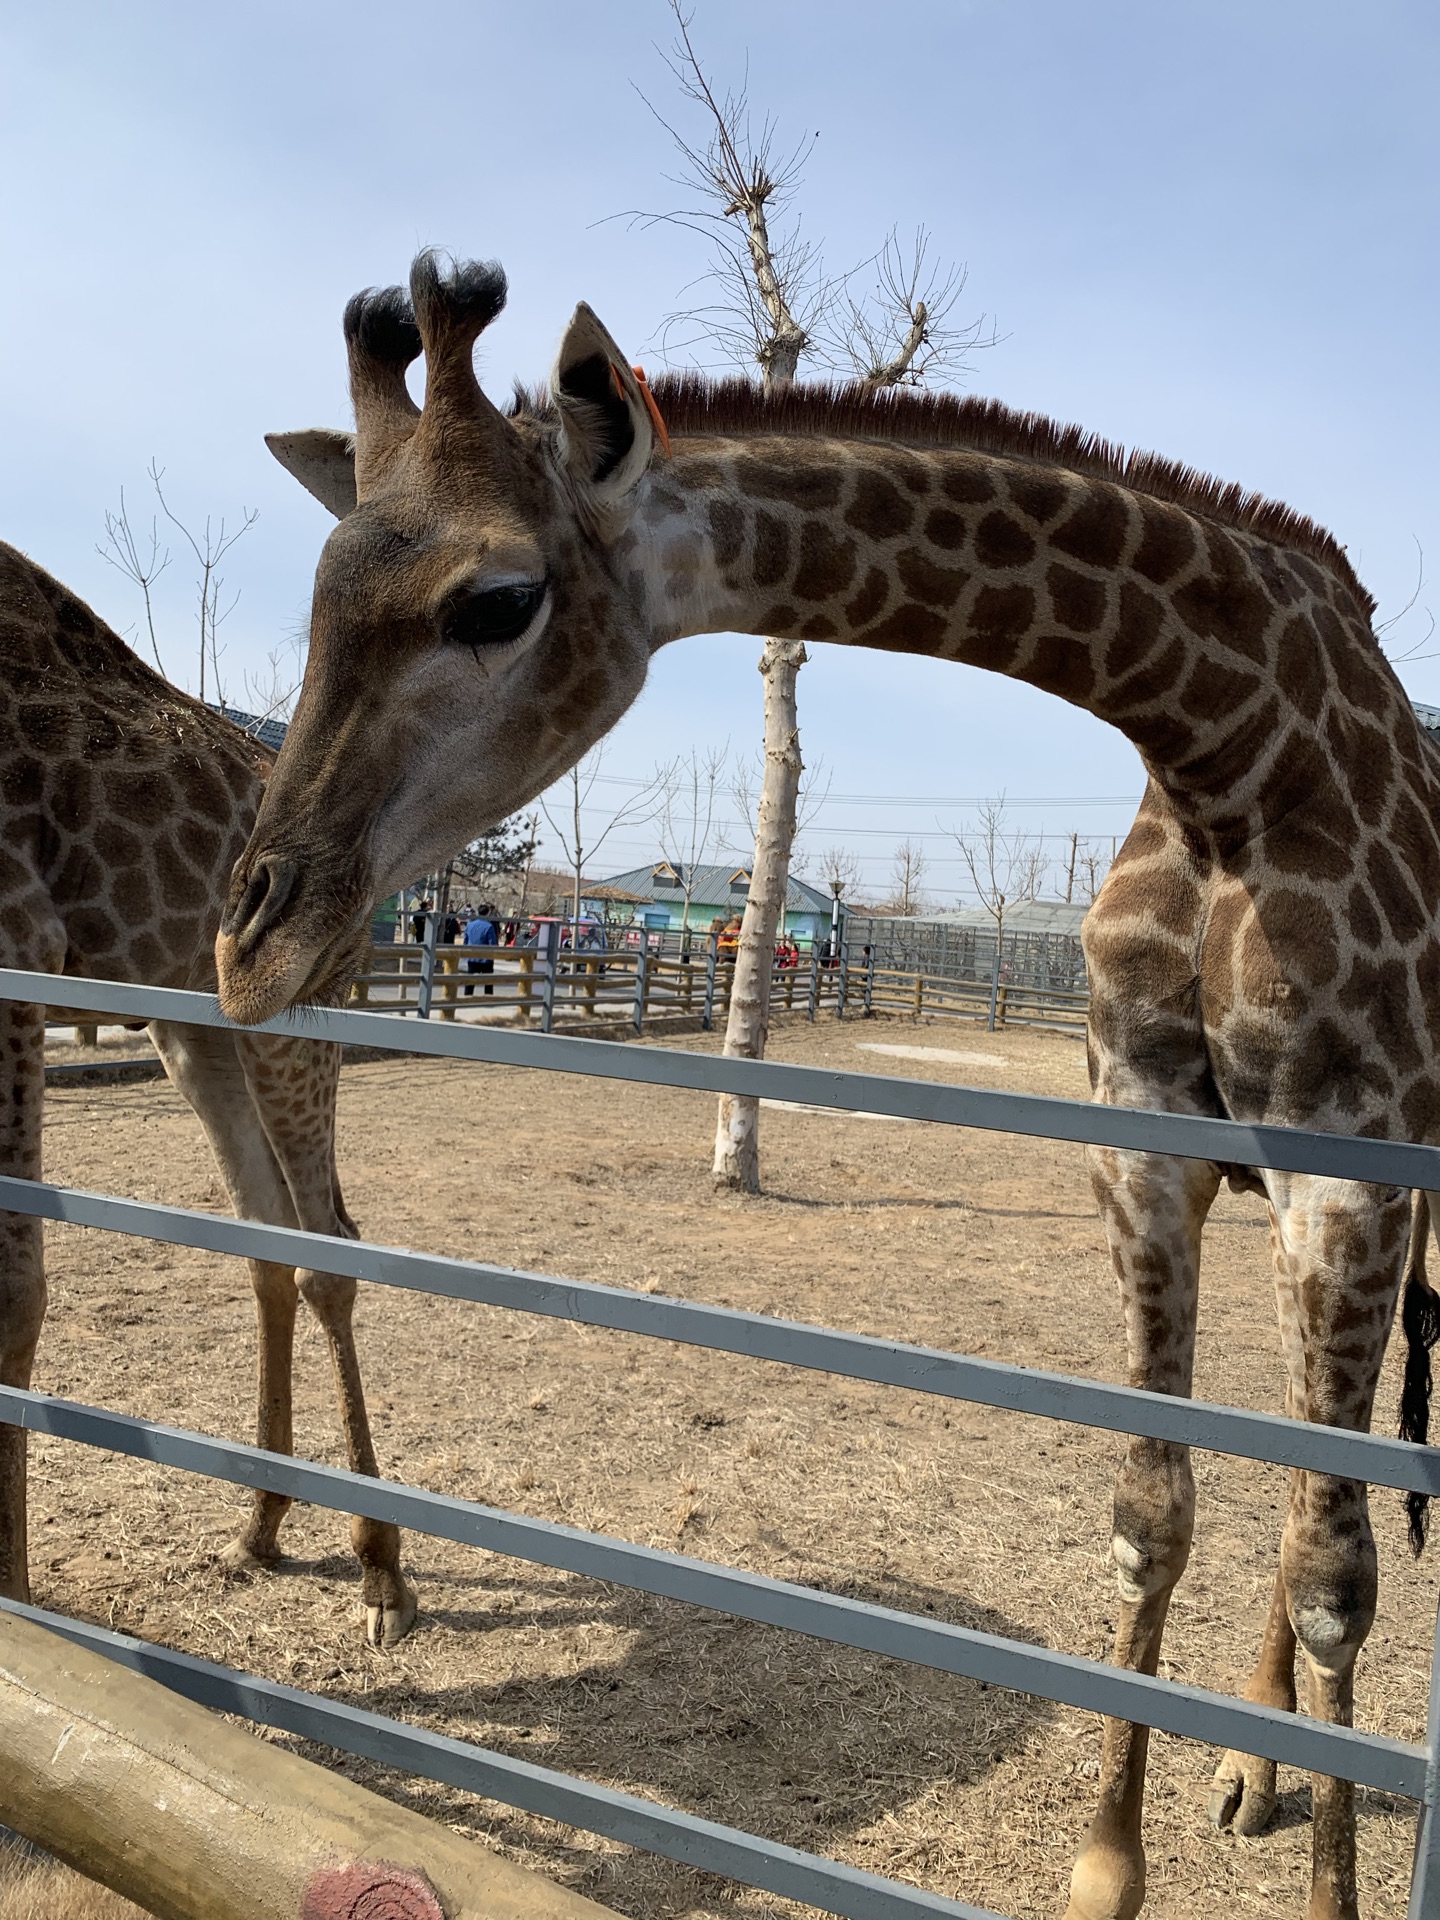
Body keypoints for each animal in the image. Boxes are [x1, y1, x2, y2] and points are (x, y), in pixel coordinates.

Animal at [0, 545, 416, 1651]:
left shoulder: (16, 933)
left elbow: (16, 1286)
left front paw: (15, 1600)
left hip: (294, 1012)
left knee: (329, 1244)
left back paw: (381, 1571)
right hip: (192, 1020)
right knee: (267, 1237)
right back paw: (260, 1526)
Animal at [216, 255, 1440, 1920]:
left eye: (497, 599)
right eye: (323, 591)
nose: (246, 949)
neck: (1233, 751)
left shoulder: (1353, 1167)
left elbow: (1336, 1579)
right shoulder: (1148, 1156)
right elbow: (1153, 1514)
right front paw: (1106, 1865)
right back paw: (1245, 1769)